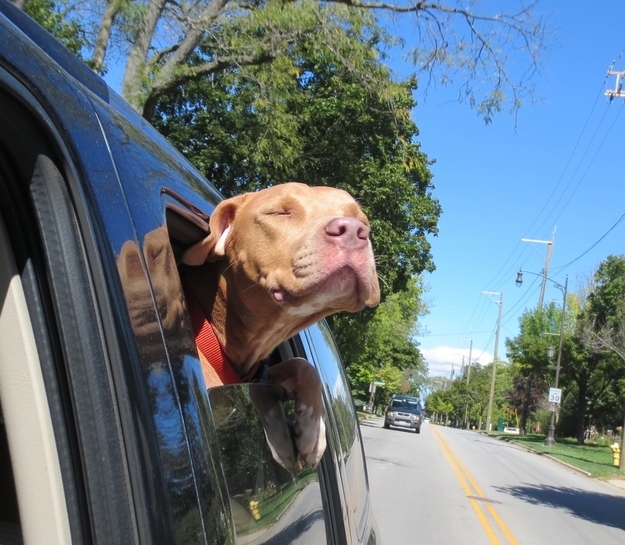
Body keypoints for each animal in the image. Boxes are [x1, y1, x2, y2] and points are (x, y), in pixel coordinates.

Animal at [178, 182, 378, 464]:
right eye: (280, 213)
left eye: (362, 220)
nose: (354, 230)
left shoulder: (261, 372)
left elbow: (302, 365)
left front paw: (311, 430)